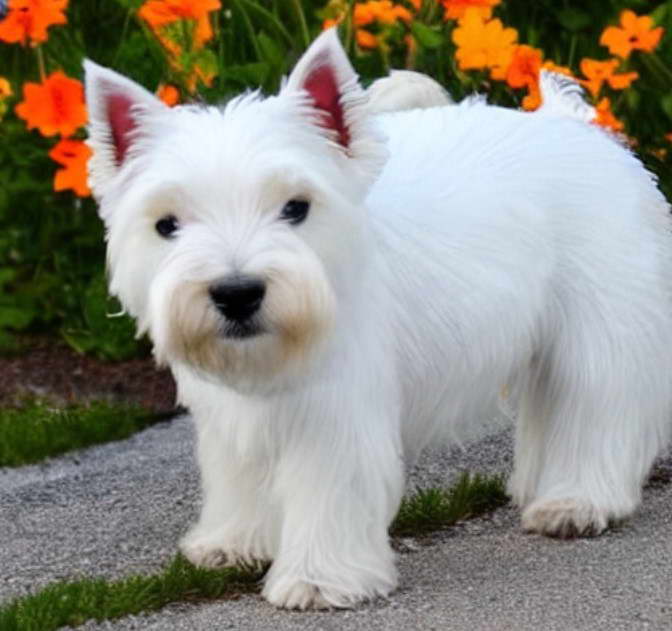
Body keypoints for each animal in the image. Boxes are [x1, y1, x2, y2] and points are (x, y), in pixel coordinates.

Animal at [84, 29, 672, 612]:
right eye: (167, 224)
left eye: (296, 207)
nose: (237, 293)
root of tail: (575, 126)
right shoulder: (234, 416)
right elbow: (239, 478)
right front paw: (234, 542)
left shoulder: (336, 411)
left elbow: (327, 488)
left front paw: (319, 579)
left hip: (597, 332)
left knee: (597, 409)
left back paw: (576, 499)